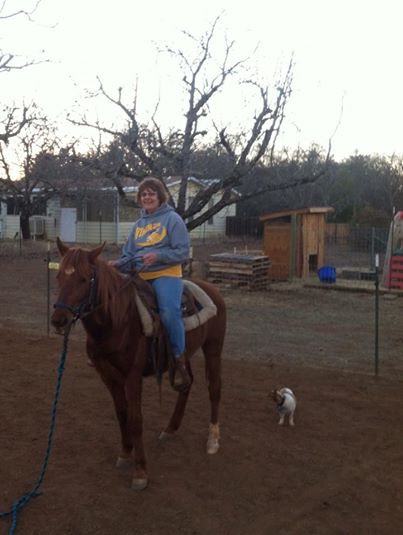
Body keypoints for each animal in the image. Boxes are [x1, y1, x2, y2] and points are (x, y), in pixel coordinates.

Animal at [50, 241, 226, 492]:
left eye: (84, 279)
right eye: (59, 276)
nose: (59, 320)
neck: (117, 321)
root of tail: (213, 289)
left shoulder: (132, 376)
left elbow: (135, 419)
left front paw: (140, 471)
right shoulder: (108, 375)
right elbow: (121, 414)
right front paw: (125, 454)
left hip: (213, 347)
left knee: (214, 389)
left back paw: (213, 439)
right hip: (183, 354)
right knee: (186, 382)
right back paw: (170, 429)